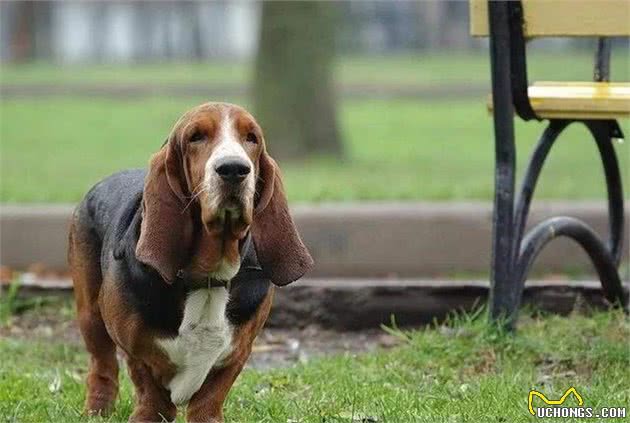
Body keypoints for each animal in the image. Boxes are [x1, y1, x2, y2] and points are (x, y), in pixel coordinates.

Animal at [69, 102, 314, 420]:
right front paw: (147, 415)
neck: (208, 275)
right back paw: (97, 410)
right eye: (196, 137)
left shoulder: (238, 351)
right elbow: (148, 387)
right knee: (102, 366)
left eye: (252, 138)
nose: (234, 169)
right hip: (90, 315)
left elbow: (210, 397)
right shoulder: (135, 348)